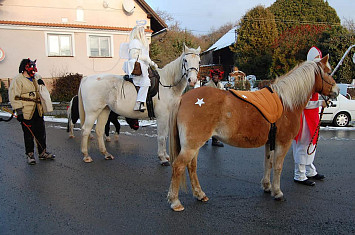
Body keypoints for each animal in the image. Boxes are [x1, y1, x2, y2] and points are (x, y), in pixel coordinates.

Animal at [168, 55, 340, 211]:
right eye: (328, 72)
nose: (336, 91)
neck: (286, 102)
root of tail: (184, 98)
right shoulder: (283, 142)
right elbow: (278, 166)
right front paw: (277, 192)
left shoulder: (270, 142)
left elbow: (268, 163)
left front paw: (267, 186)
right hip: (192, 146)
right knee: (178, 166)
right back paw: (175, 202)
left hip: (194, 145)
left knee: (192, 167)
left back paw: (200, 194)